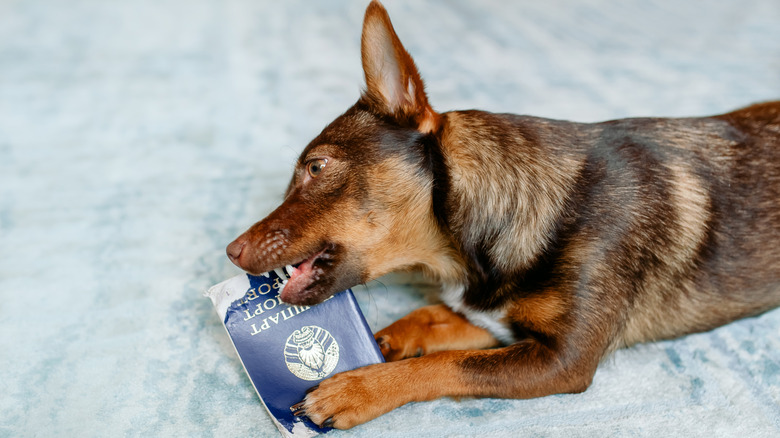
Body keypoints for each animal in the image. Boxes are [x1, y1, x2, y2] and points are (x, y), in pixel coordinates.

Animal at [225, 0, 780, 430]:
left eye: (316, 168)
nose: (230, 251)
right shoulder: (499, 324)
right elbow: (430, 317)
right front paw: (380, 341)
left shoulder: (561, 360)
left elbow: (451, 364)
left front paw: (357, 386)